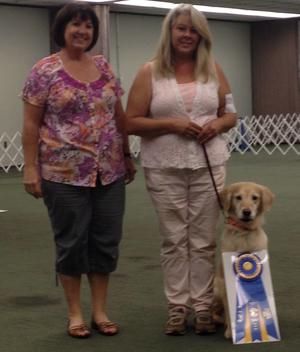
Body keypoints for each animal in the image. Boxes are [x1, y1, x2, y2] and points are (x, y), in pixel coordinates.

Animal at [213, 182, 274, 338]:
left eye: (255, 198)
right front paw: (231, 331)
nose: (247, 212)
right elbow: (230, 309)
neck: (244, 234)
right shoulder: (225, 281)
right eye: (238, 197)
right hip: (216, 288)